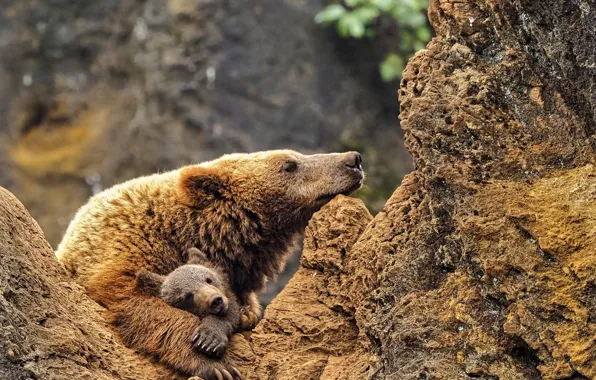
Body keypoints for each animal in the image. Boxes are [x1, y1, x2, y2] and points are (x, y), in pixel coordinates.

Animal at [56, 148, 364, 378]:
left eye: (296, 157)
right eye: (290, 165)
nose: (353, 160)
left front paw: (244, 316)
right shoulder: (125, 252)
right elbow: (141, 302)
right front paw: (214, 363)